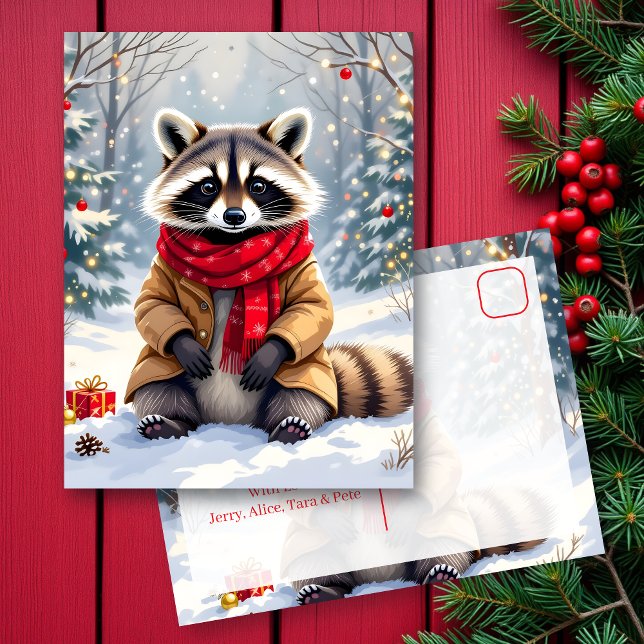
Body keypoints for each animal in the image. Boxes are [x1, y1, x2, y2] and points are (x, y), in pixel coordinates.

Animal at [126, 107, 412, 443]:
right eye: (208, 187)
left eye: (258, 186)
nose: (234, 216)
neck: (231, 244)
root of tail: (227, 420)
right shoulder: (162, 265)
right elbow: (152, 303)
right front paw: (185, 343)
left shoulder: (304, 265)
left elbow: (312, 306)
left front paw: (271, 352)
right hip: (162, 373)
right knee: (158, 389)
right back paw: (169, 422)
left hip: (299, 380)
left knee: (301, 397)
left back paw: (290, 424)